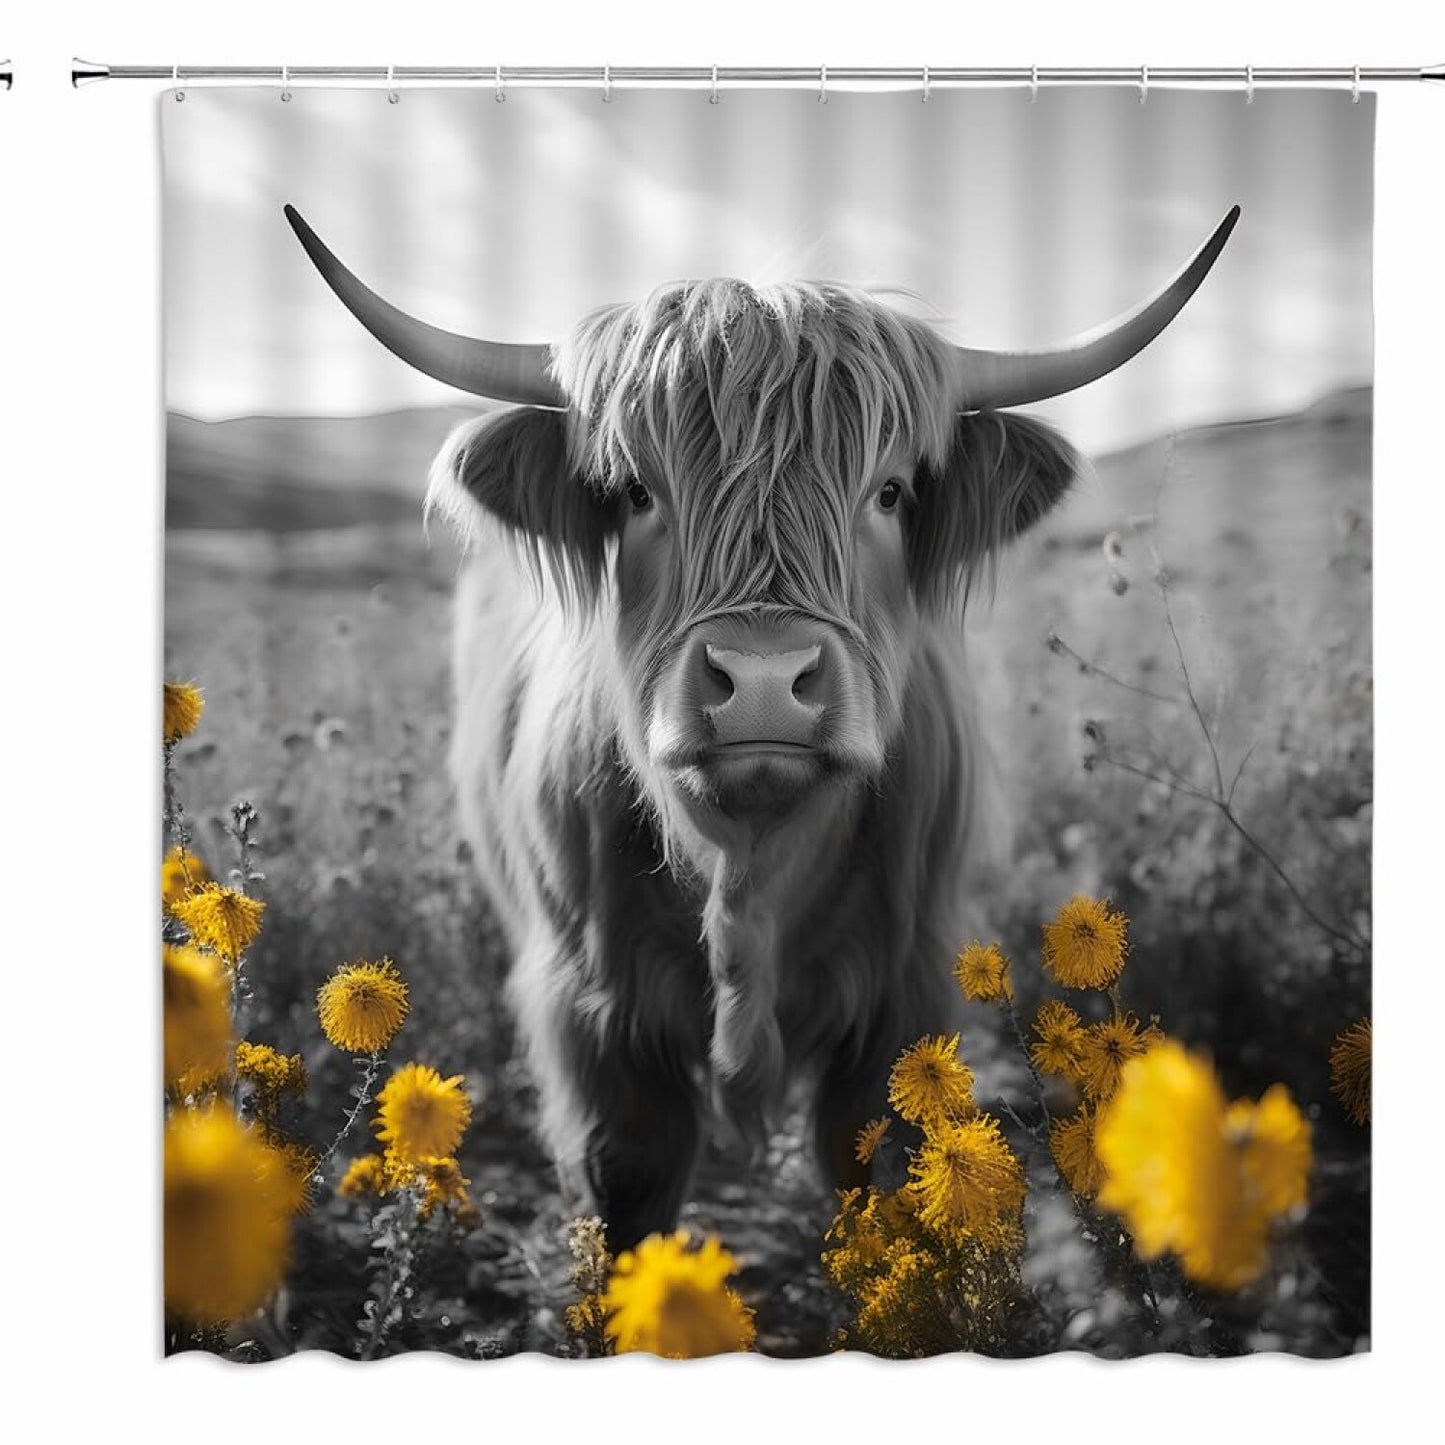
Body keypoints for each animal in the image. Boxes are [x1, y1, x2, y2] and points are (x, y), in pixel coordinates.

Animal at [285, 202, 1239, 1248]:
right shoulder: (592, 1000)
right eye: (635, 491)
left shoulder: (905, 986)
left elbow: (887, 1165)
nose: (764, 681)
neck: (748, 866)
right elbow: (629, 1170)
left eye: (889, 491)